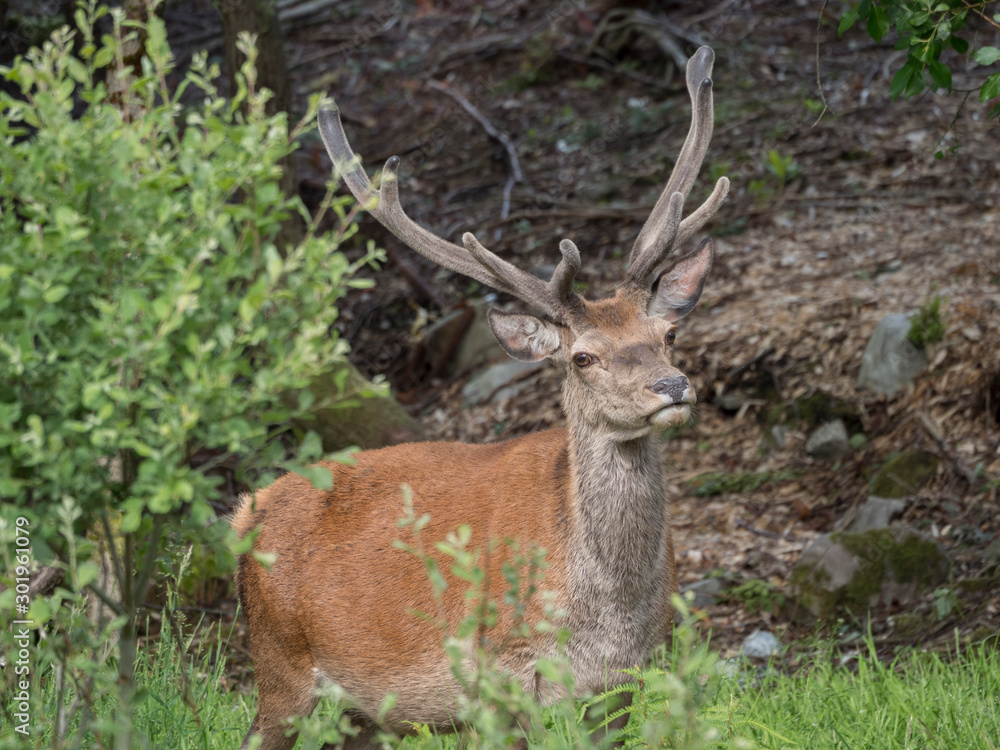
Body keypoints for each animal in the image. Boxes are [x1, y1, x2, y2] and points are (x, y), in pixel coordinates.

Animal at [232, 46, 729, 750]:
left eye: (669, 335)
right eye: (582, 357)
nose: (673, 385)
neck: (604, 617)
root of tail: (244, 512)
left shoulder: (625, 682)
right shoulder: (503, 676)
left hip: (361, 712)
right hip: (279, 668)